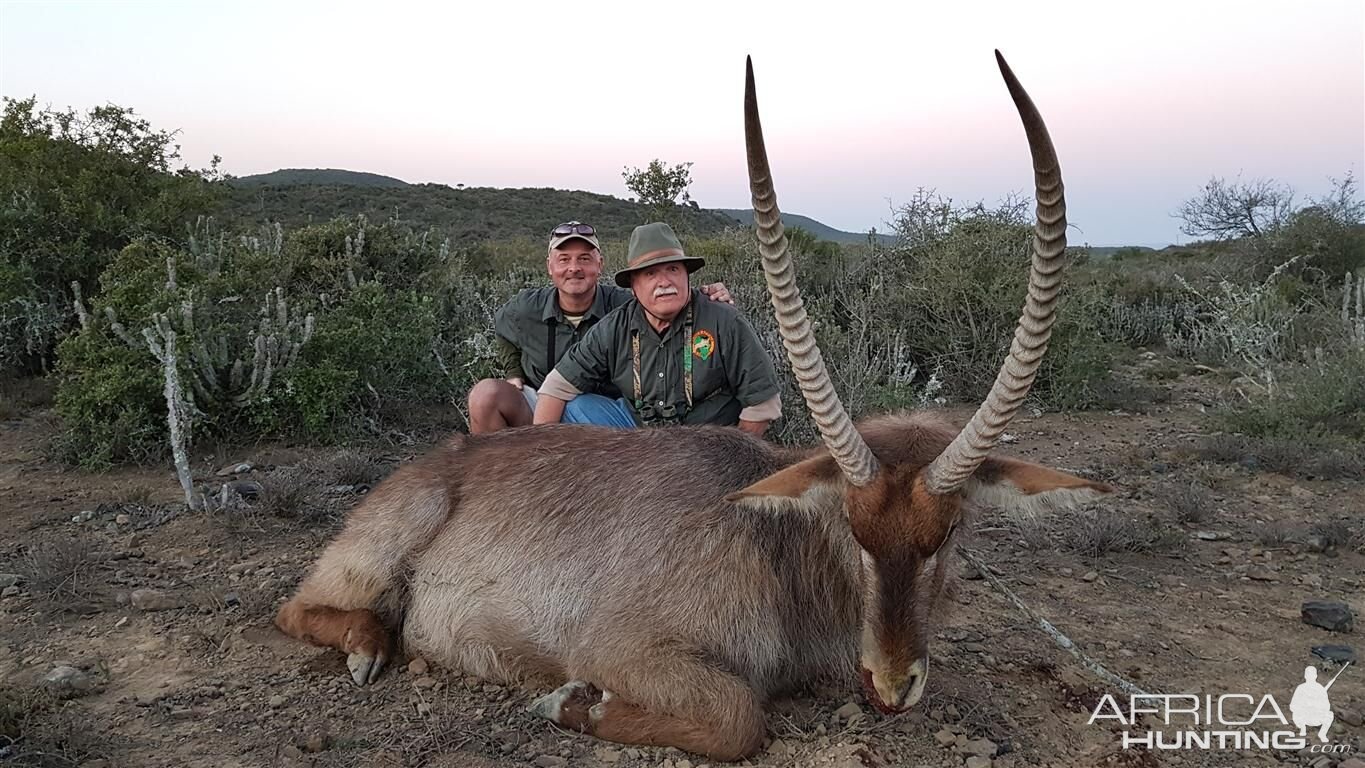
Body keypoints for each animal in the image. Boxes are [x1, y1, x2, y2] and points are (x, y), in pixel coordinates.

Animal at [274, 51, 1108, 758]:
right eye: (851, 527)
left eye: (952, 531)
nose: (892, 684)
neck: (775, 544)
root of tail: (435, 462)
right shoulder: (623, 646)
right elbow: (740, 718)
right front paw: (568, 704)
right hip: (378, 554)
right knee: (297, 608)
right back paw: (370, 647)